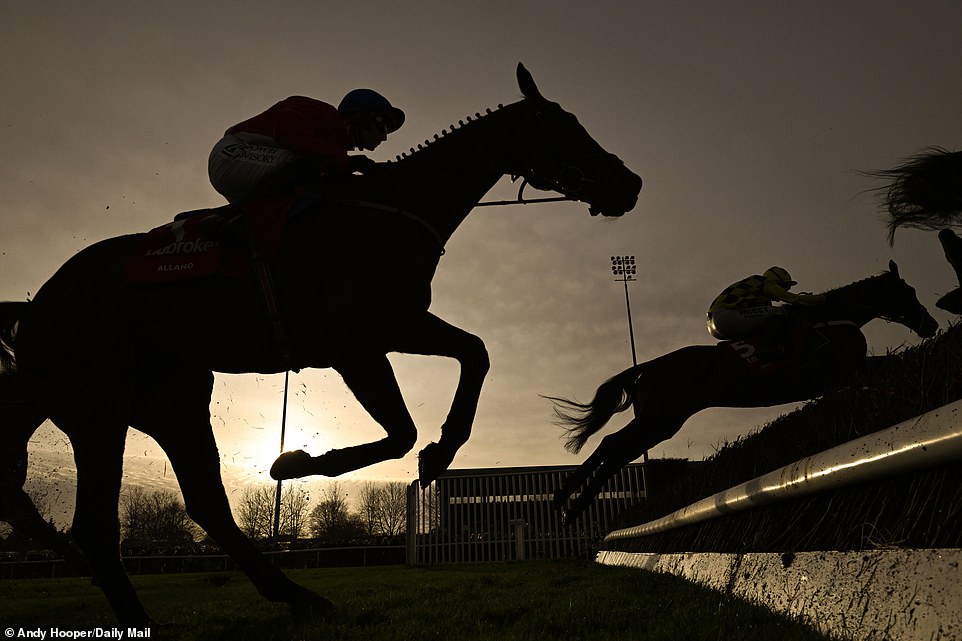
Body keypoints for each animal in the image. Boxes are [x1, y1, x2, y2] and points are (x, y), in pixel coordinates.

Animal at [1, 65, 644, 624]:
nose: (630, 182)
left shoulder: (388, 329)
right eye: (564, 124)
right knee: (97, 527)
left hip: (172, 397)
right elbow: (419, 411)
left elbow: (467, 361)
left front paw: (429, 451)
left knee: (205, 501)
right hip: (98, 407)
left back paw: (299, 595)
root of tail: (36, 309)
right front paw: (307, 460)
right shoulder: (363, 339)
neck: (392, 209)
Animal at [552, 260, 932, 524]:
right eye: (909, 292)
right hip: (661, 418)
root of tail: (648, 365)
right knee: (614, 447)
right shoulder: (844, 369)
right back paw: (568, 503)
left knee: (613, 449)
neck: (832, 318)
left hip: (659, 422)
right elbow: (886, 363)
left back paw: (565, 504)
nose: (930, 324)